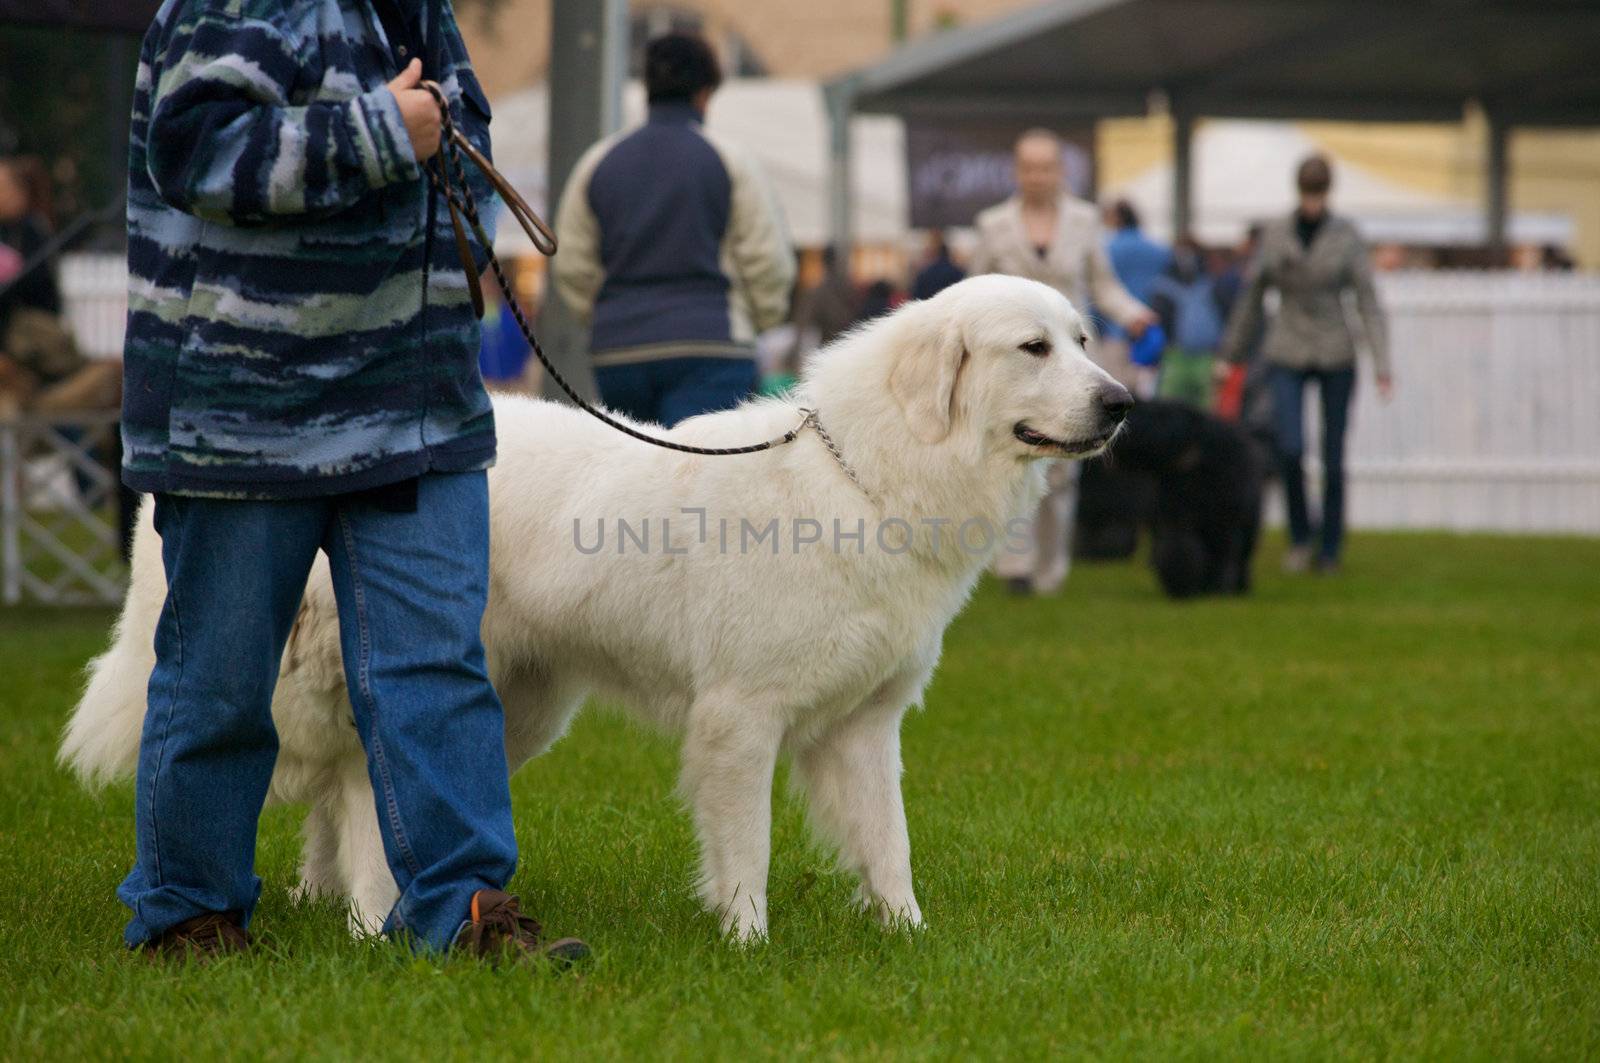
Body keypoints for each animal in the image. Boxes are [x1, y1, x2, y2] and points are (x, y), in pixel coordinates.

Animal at [62, 273, 1132, 941]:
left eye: (1084, 341)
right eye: (1033, 347)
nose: (1121, 401)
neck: (864, 473)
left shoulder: (866, 726)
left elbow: (888, 844)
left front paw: (908, 936)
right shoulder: (739, 720)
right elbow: (748, 848)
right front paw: (748, 943)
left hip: (510, 708)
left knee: (339, 791)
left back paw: (341, 901)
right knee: (359, 788)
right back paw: (367, 921)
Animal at [1088, 400, 1260, 598]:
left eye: (1159, 418)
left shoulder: (1224, 520)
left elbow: (1223, 551)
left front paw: (1218, 588)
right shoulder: (1178, 512)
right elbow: (1179, 542)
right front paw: (1184, 586)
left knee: (1242, 553)